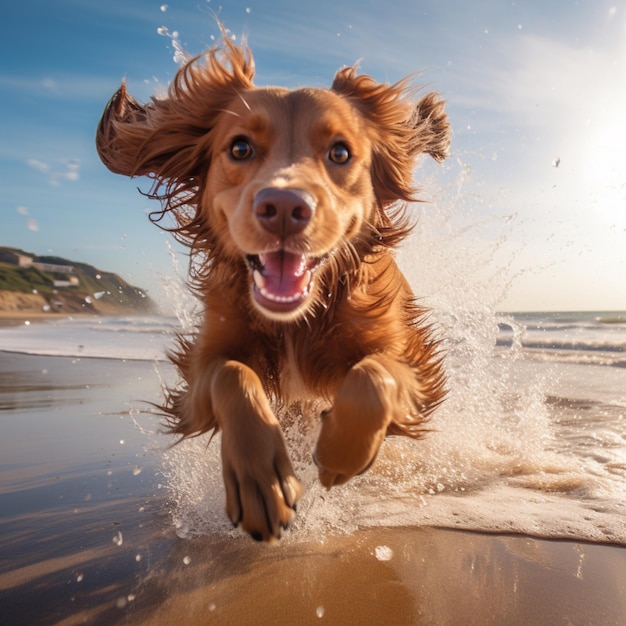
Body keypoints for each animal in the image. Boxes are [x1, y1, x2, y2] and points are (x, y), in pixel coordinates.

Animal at [95, 36, 448, 540]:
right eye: (240, 147)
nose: (283, 207)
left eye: (340, 153)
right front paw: (261, 481)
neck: (297, 320)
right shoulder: (203, 364)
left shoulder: (407, 357)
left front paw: (339, 453)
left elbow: (372, 377)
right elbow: (231, 375)